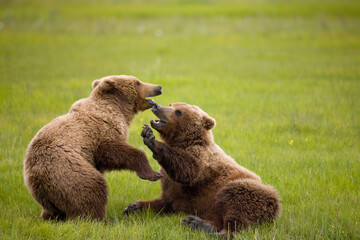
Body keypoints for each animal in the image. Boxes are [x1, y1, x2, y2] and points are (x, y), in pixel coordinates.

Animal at [25, 75, 165, 221]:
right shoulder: (101, 132)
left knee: (52, 209)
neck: (119, 109)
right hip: (67, 170)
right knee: (92, 188)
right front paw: (154, 174)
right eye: (138, 83)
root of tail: (37, 176)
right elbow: (113, 152)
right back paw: (103, 219)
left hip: (46, 194)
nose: (158, 87)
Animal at [124, 101, 282, 238]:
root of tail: (278, 205)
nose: (156, 105)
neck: (184, 142)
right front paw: (133, 207)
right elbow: (165, 201)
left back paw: (201, 225)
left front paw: (151, 139)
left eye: (178, 112)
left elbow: (188, 170)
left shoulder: (202, 161)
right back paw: (195, 222)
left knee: (237, 207)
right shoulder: (170, 185)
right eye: (171, 104)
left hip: (246, 191)